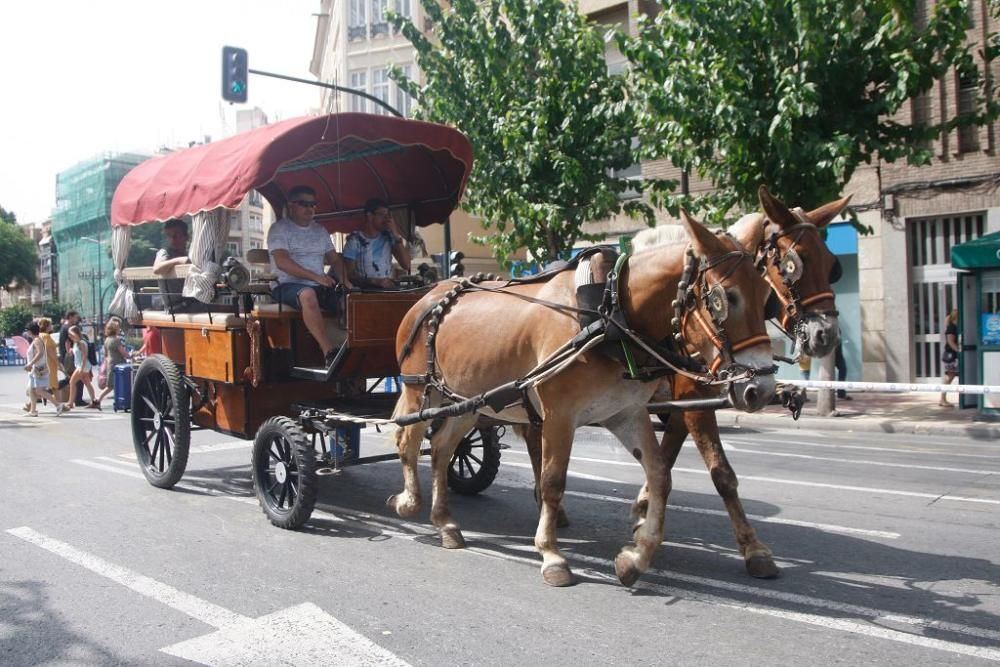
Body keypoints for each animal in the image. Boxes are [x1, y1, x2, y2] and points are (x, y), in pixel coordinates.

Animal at [388, 211, 772, 588]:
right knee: (408, 440)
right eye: (726, 298)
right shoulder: (560, 415)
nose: (762, 389)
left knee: (441, 448)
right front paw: (552, 555)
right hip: (420, 390)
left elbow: (660, 475)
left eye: (766, 294)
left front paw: (636, 556)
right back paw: (409, 501)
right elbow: (552, 481)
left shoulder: (626, 413)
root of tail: (431, 295)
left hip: (468, 402)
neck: (610, 313)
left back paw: (445, 522)